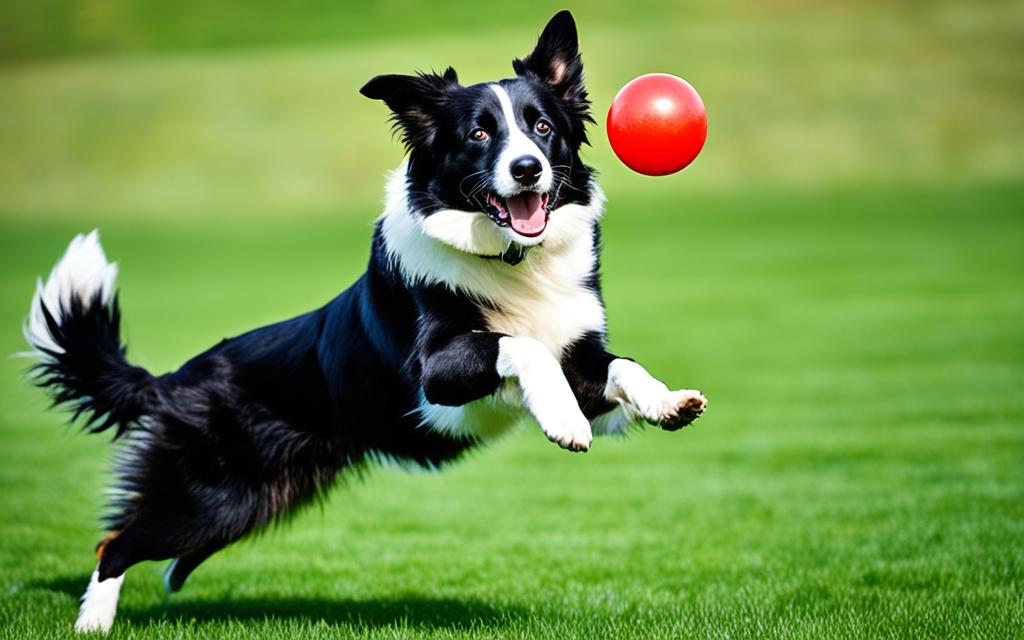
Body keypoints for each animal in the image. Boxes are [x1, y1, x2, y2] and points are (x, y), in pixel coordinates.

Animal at [28, 11, 708, 634]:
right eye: (478, 134)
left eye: (543, 127)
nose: (527, 169)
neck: (512, 258)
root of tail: (173, 380)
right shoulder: (437, 371)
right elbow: (519, 346)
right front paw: (566, 422)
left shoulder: (579, 349)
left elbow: (620, 365)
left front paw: (666, 402)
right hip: (208, 494)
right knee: (115, 543)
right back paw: (93, 624)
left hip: (246, 502)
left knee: (160, 552)